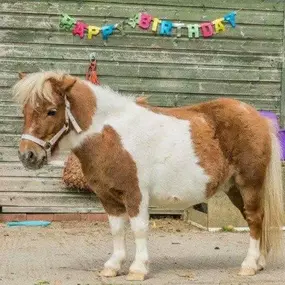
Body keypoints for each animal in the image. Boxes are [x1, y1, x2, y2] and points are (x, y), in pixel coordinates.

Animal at [13, 70, 284, 280]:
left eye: (51, 111)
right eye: (25, 111)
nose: (28, 155)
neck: (111, 135)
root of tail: (257, 117)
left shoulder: (135, 194)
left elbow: (139, 229)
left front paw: (137, 269)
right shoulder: (108, 198)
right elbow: (117, 230)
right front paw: (113, 266)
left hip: (249, 184)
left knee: (254, 219)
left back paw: (249, 265)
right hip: (234, 188)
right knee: (254, 220)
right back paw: (258, 263)